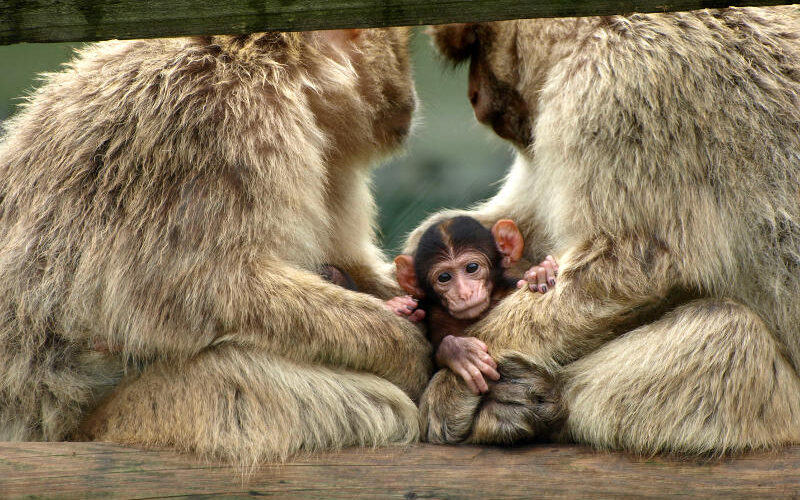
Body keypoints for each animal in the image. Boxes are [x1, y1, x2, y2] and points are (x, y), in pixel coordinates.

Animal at [389, 215, 557, 395]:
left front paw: (540, 272)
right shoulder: (436, 315)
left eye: (471, 267)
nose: (464, 293)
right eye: (444, 277)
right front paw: (459, 352)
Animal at [407, 6, 800, 454]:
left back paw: (530, 402)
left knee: (726, 334)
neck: (595, 30)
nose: (473, 95)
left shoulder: (622, 88)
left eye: (476, 47)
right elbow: (523, 227)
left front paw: (457, 369)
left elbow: (638, 259)